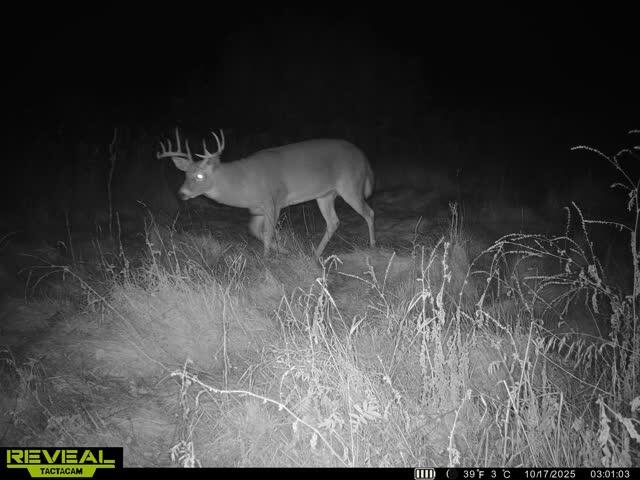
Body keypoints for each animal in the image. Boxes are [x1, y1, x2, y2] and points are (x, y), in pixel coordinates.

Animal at [157, 129, 375, 258]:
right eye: (185, 174)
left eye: (200, 175)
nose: (182, 193)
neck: (244, 183)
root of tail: (364, 157)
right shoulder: (257, 209)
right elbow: (254, 230)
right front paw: (283, 250)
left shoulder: (273, 201)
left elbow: (267, 232)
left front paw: (267, 258)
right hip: (325, 194)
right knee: (333, 222)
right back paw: (315, 253)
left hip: (350, 185)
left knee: (369, 212)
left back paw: (372, 245)